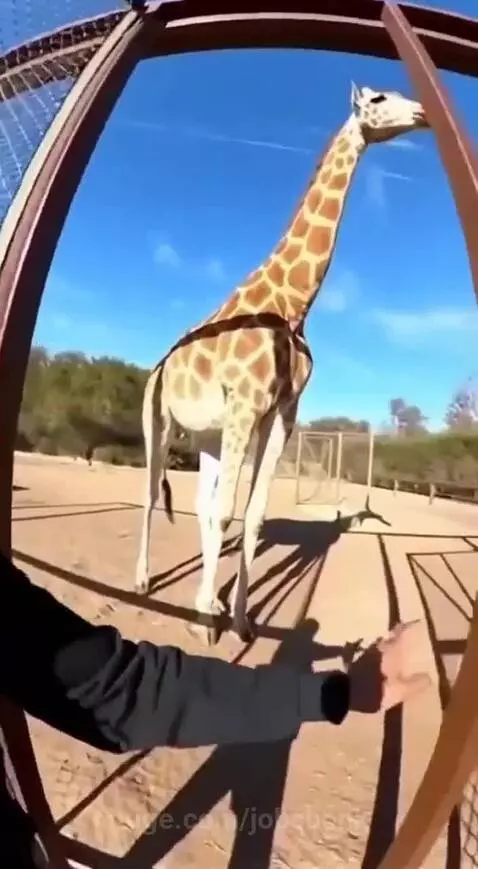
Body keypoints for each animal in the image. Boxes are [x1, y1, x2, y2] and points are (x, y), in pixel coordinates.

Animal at [134, 83, 429, 645]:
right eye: (380, 98)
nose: (423, 112)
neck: (292, 304)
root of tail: (157, 367)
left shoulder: (281, 414)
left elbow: (249, 516)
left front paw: (240, 619)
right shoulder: (246, 404)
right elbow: (229, 512)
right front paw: (207, 621)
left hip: (209, 434)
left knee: (202, 504)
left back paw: (207, 595)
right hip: (157, 419)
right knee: (151, 490)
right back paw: (143, 581)